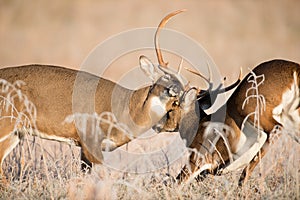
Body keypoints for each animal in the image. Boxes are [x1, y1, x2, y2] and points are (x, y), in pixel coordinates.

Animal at [0, 9, 188, 180]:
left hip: (16, 132)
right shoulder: (90, 142)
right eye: (170, 91)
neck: (127, 108)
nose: (174, 125)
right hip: (5, 125)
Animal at [159, 59, 298, 186]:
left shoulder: (198, 157)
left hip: (254, 110)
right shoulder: (205, 171)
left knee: (275, 130)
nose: (158, 125)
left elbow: (177, 182)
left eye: (173, 104)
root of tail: (295, 71)